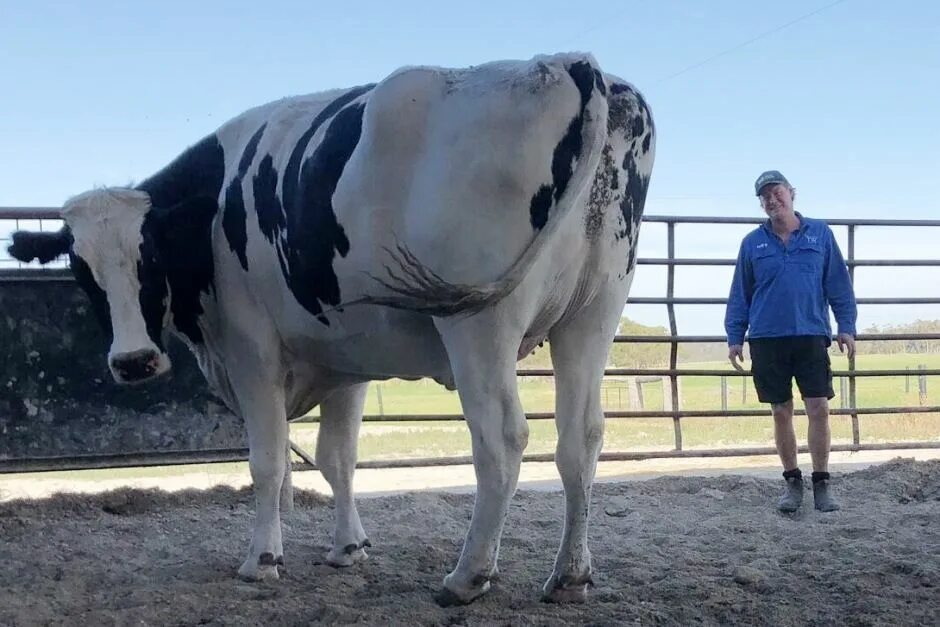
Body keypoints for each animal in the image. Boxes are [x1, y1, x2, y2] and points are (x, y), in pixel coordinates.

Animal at [7, 52, 652, 604]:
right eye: (81, 270)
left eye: (152, 257)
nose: (134, 362)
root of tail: (566, 63)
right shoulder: (348, 357)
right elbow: (337, 457)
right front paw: (349, 548)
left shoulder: (252, 350)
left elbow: (269, 461)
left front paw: (263, 559)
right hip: (593, 314)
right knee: (581, 439)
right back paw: (569, 575)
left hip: (479, 325)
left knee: (502, 440)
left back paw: (467, 576)